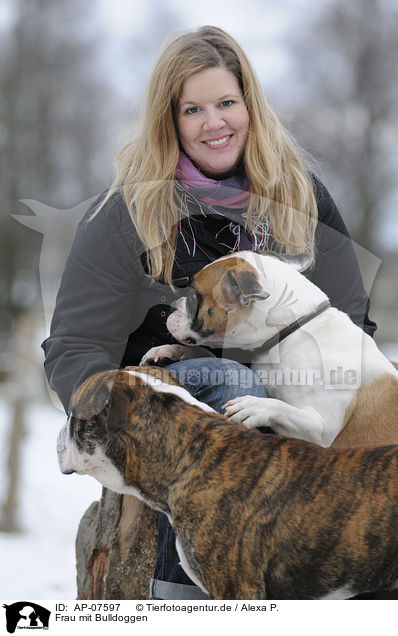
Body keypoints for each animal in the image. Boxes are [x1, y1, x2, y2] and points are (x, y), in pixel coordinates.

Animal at [160, 248, 398, 448]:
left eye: (193, 296)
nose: (171, 305)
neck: (294, 330)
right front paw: (174, 351)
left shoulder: (321, 428)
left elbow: (283, 408)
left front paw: (255, 406)